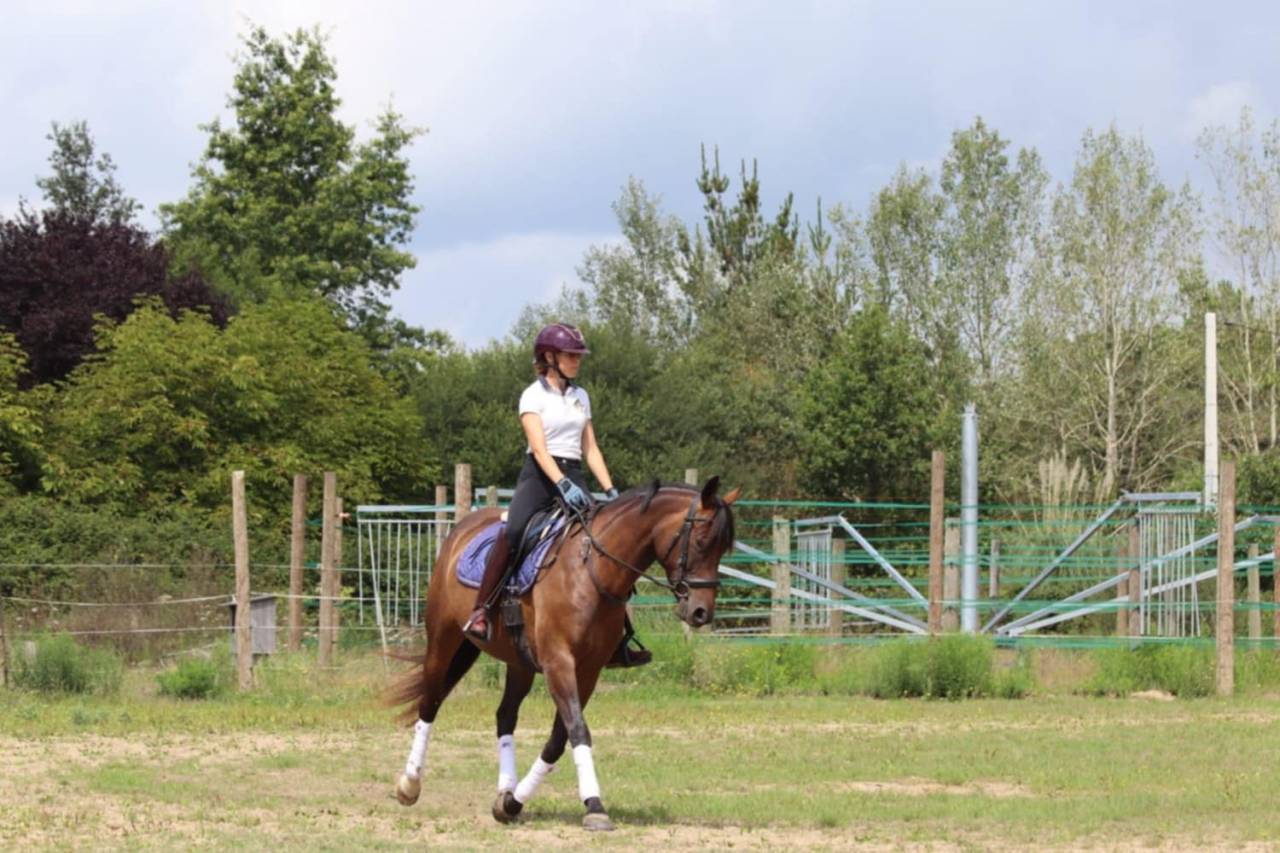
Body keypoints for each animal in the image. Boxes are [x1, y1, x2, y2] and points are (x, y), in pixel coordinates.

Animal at [390, 476, 739, 831]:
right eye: (701, 541)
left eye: (724, 549)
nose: (701, 613)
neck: (592, 570)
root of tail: (462, 528)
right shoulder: (559, 662)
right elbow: (578, 729)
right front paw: (595, 805)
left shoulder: (588, 671)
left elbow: (561, 737)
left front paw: (514, 802)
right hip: (444, 640)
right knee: (430, 703)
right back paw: (409, 784)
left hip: (519, 661)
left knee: (505, 715)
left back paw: (505, 789)